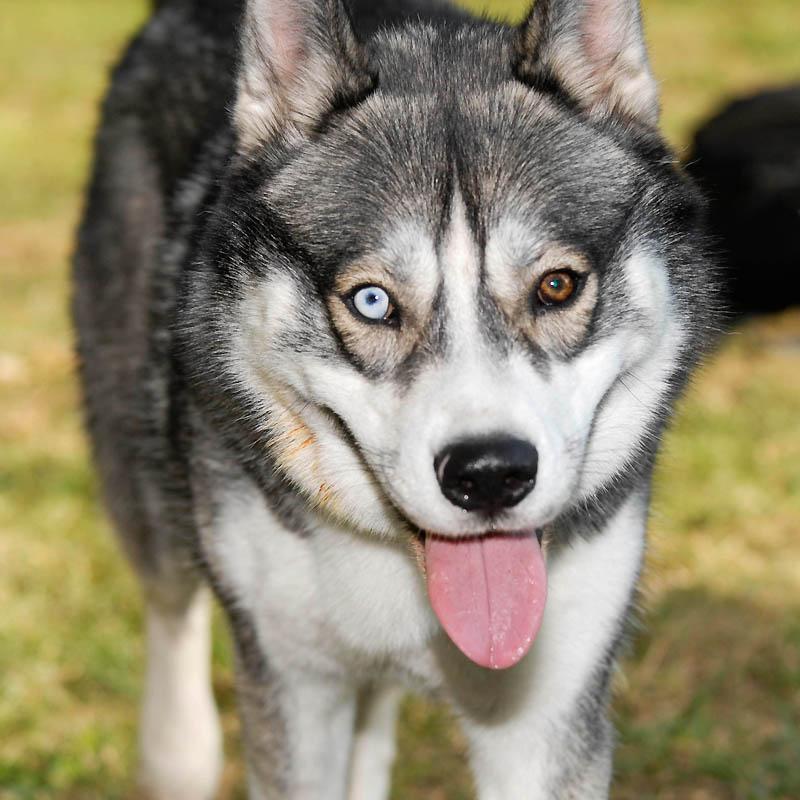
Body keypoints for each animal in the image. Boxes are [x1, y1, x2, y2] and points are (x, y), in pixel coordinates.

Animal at [73, 0, 720, 792]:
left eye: (557, 285)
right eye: (373, 301)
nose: (489, 474)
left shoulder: (547, 709)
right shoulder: (295, 684)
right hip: (146, 486)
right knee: (171, 617)